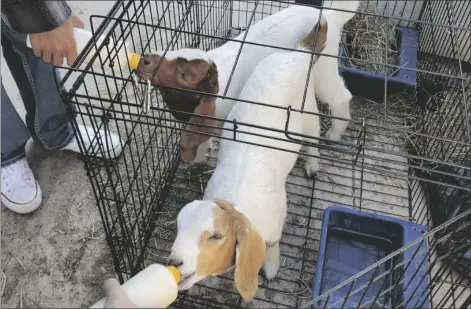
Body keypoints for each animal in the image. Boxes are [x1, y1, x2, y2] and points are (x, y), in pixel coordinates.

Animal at [168, 12, 334, 300]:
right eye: (178, 226)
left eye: (216, 236)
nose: (174, 262)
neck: (237, 200)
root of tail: (299, 54)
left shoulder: (277, 219)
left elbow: (273, 245)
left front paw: (271, 269)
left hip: (309, 112)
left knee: (313, 140)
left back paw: (313, 167)